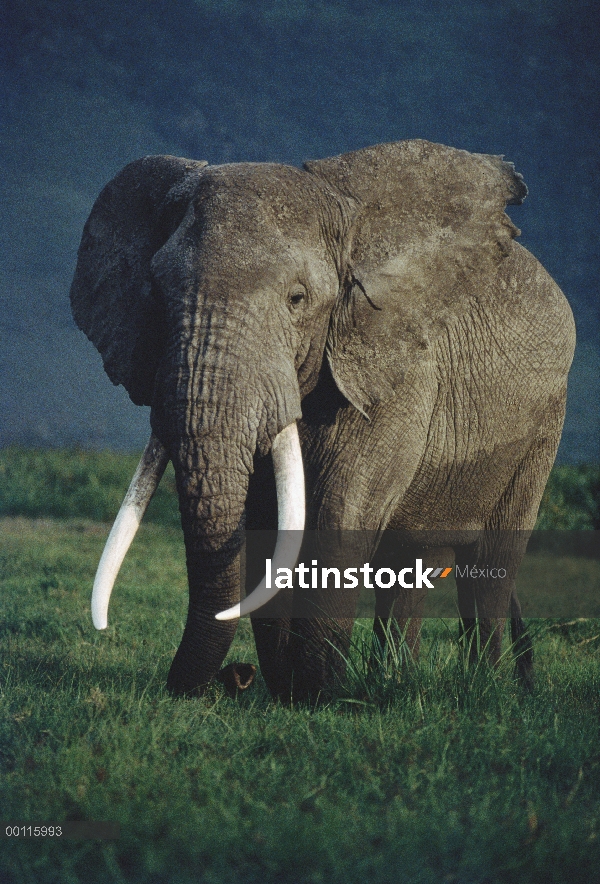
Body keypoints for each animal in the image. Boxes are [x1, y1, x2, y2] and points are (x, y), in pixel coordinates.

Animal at [70, 140, 576, 704]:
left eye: (297, 300)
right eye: (156, 294)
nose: (234, 677)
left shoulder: (398, 369)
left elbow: (341, 511)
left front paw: (317, 693)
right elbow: (266, 519)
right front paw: (291, 689)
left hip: (543, 423)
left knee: (492, 565)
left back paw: (476, 686)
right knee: (409, 560)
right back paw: (394, 682)